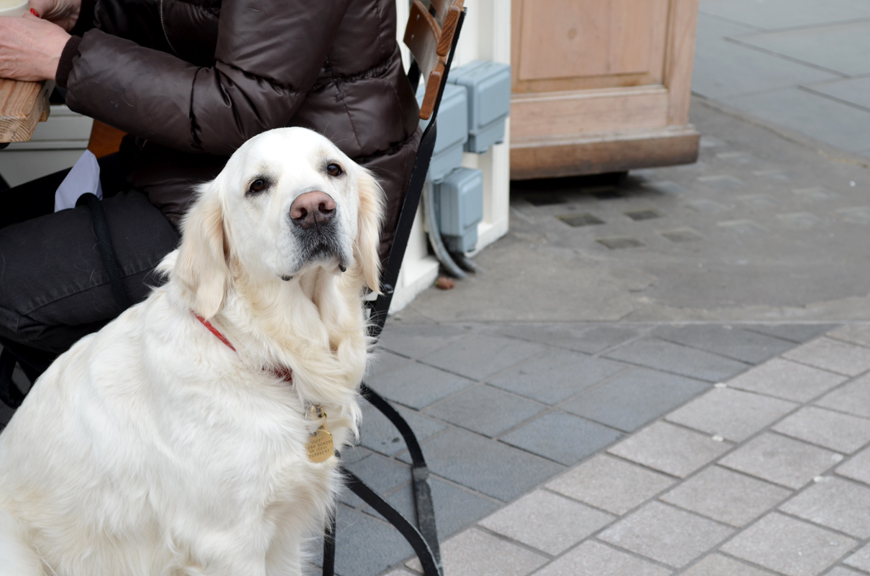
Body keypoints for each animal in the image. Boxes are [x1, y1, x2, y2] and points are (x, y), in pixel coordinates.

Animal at [0, 127, 384, 576]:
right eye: (257, 185)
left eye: (333, 169)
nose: (315, 210)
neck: (258, 347)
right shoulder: (228, 542)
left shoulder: (283, 533)